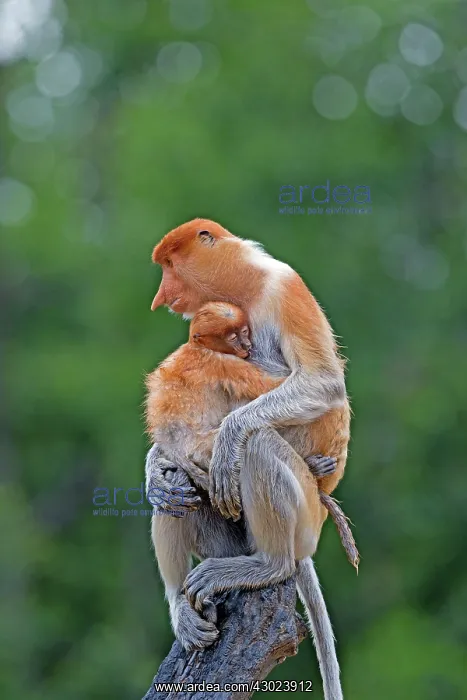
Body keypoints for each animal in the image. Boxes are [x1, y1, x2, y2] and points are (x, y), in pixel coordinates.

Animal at [146, 218, 352, 700]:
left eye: (169, 265)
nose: (161, 296)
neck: (248, 283)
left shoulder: (285, 288)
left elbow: (322, 382)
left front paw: (226, 440)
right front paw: (154, 468)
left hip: (304, 512)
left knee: (258, 445)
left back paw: (268, 563)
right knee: (177, 492)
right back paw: (183, 605)